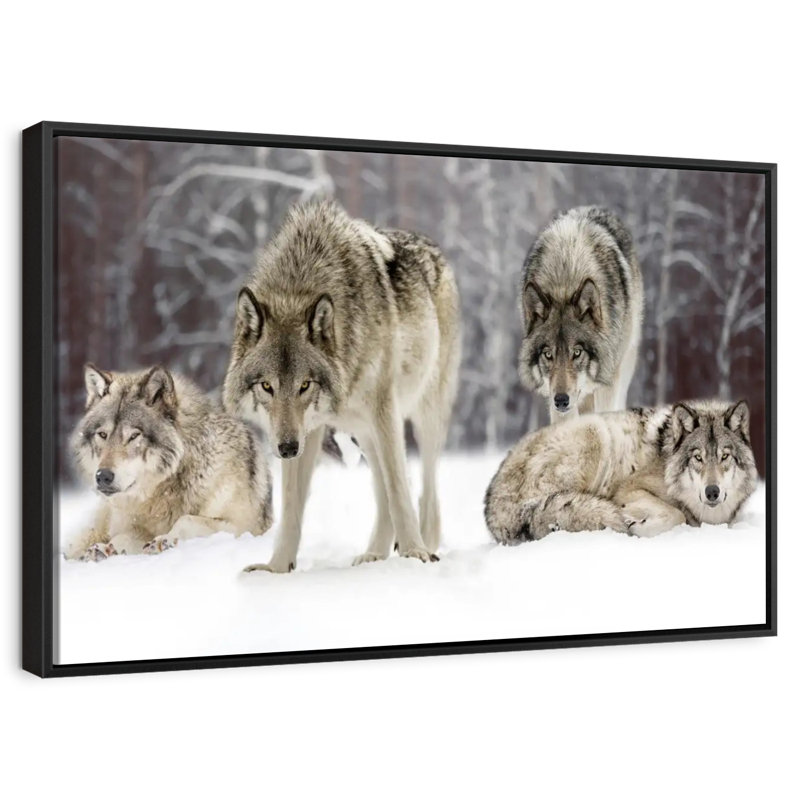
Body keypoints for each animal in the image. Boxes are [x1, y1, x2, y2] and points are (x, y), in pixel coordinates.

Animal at [67, 364, 272, 559]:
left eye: (134, 436)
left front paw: (163, 540)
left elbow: (185, 520)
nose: (103, 476)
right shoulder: (134, 526)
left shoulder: (244, 527)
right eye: (103, 435)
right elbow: (125, 536)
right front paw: (106, 549)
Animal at [223, 200, 461, 572]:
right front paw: (276, 569)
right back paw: (374, 555)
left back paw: (423, 545)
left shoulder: (384, 409)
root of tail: (433, 247)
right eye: (267, 386)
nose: (287, 449)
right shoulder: (305, 430)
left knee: (423, 492)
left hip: (423, 417)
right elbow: (291, 508)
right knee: (384, 490)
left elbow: (399, 489)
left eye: (305, 384)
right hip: (363, 431)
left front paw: (414, 552)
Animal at [484, 399, 757, 544]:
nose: (712, 492)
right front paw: (636, 526)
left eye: (724, 456)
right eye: (698, 458)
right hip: (595, 431)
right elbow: (676, 514)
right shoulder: (629, 488)